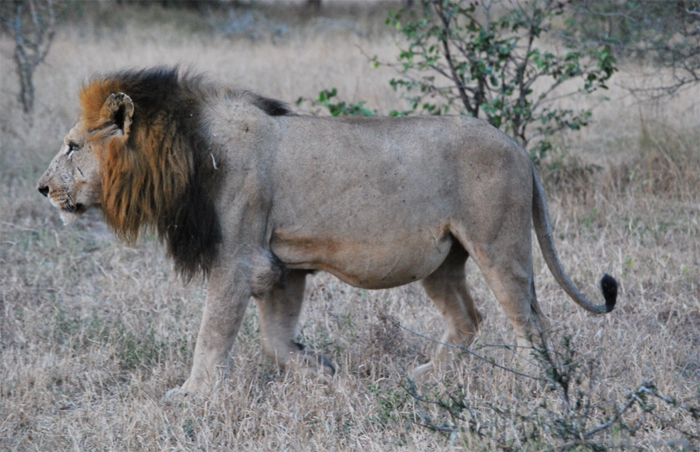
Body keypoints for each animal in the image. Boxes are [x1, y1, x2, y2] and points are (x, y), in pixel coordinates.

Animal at [38, 67, 618, 397]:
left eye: (71, 147)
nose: (42, 189)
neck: (184, 154)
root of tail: (520, 148)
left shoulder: (238, 259)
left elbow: (211, 333)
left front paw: (191, 395)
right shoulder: (281, 266)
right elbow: (275, 341)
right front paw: (324, 373)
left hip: (500, 247)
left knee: (531, 324)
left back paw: (539, 390)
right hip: (442, 260)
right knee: (469, 319)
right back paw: (425, 378)